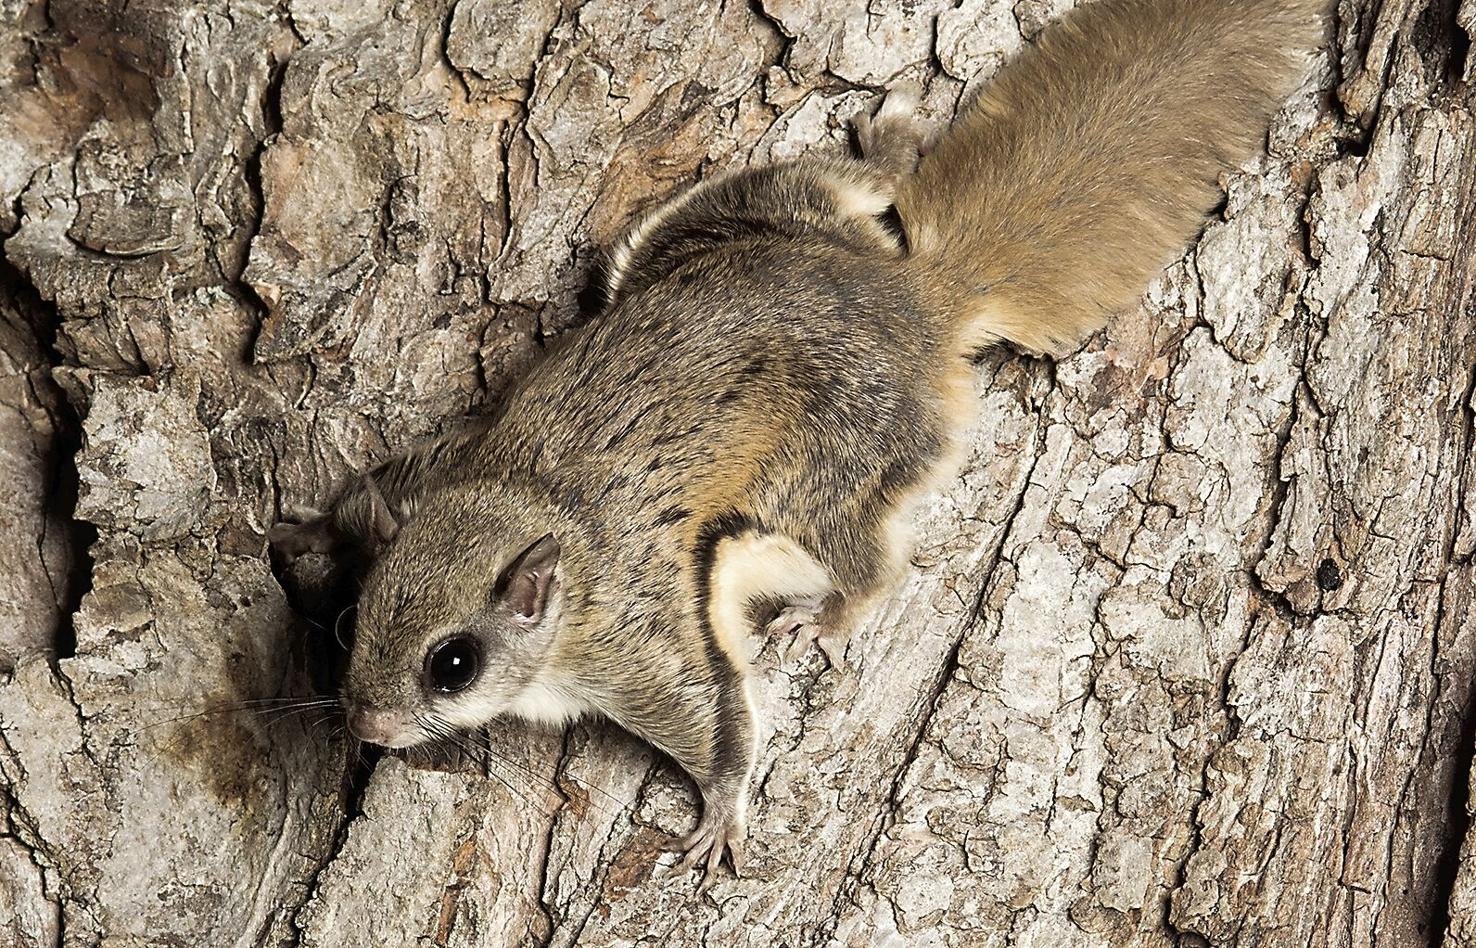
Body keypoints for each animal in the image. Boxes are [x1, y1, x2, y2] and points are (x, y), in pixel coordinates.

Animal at [270, 0, 1326, 889]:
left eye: (453, 665)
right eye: (350, 622)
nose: (366, 722)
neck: (525, 508)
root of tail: (916, 305)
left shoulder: (639, 641)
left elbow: (715, 719)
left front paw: (719, 817)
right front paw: (308, 528)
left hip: (822, 474)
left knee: (872, 561)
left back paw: (830, 615)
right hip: (720, 223)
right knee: (855, 186)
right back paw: (890, 140)